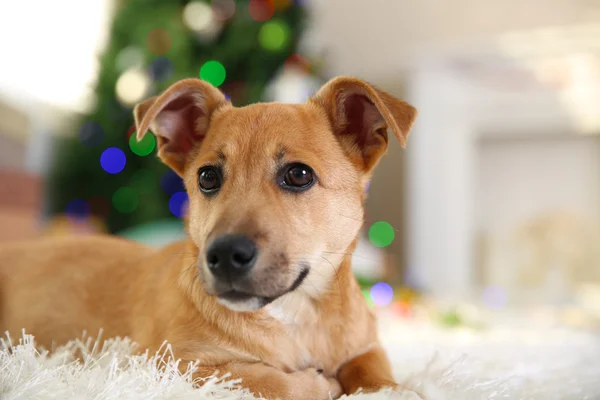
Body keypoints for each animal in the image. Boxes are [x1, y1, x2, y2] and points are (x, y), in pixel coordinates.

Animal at [1, 76, 418, 398]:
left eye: (299, 175)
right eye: (207, 177)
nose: (225, 255)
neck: (296, 315)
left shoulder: (366, 343)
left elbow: (375, 370)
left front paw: (393, 390)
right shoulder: (169, 364)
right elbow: (264, 379)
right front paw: (320, 384)